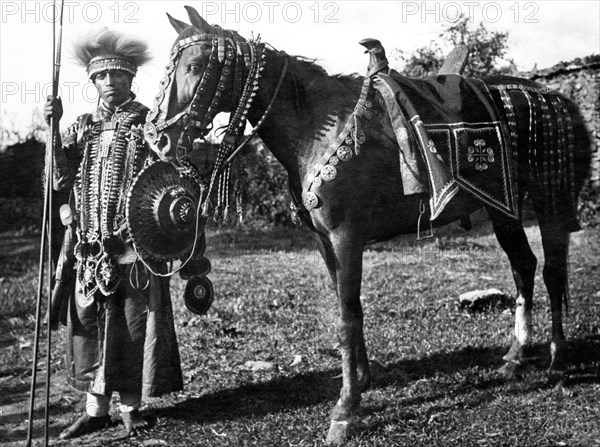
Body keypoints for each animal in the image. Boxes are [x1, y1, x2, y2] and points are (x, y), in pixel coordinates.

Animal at [137, 6, 592, 444]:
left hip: (548, 203)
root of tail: (552, 98)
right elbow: (348, 307)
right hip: (503, 210)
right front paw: (361, 382)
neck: (317, 129)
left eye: (196, 66)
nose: (159, 139)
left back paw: (557, 361)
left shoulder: (346, 238)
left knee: (552, 272)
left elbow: (346, 318)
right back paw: (515, 358)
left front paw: (345, 409)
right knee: (524, 267)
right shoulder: (326, 243)